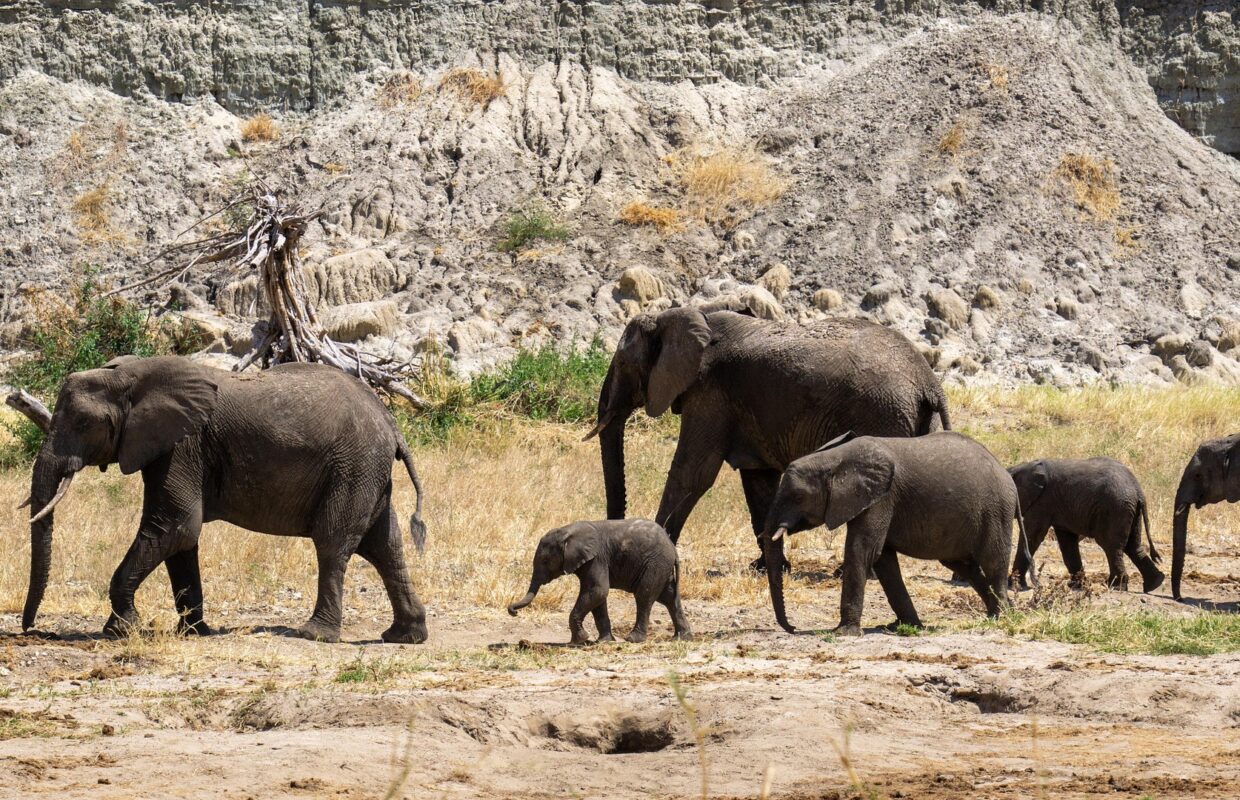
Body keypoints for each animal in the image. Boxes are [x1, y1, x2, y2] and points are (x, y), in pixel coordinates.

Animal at [21, 356, 428, 644]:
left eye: (81, 424)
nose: (31, 631)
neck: (132, 373)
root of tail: (391, 423)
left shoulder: (183, 446)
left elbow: (176, 525)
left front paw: (122, 630)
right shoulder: (170, 447)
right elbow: (180, 540)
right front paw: (194, 633)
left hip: (353, 467)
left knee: (333, 542)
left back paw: (314, 634)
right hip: (367, 472)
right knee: (384, 545)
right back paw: (405, 636)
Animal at [507, 519, 691, 644]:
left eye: (545, 561)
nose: (513, 612)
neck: (567, 531)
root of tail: (672, 546)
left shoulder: (596, 558)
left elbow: (598, 590)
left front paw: (580, 640)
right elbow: (597, 597)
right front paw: (603, 641)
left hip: (655, 563)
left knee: (644, 596)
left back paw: (633, 639)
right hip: (662, 566)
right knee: (668, 598)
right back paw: (682, 638)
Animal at [589, 307, 950, 572]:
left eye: (623, 362)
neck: (679, 315)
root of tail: (929, 382)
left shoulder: (710, 393)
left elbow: (693, 472)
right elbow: (758, 481)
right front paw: (765, 568)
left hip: (883, 415)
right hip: (916, 420)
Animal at [761, 432, 1029, 635]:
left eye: (797, 497)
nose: (793, 628)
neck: (835, 459)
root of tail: (1008, 477)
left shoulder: (881, 498)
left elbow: (862, 551)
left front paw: (844, 633)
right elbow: (883, 559)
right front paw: (903, 626)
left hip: (995, 511)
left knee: (992, 562)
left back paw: (999, 617)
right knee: (965, 566)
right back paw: (1001, 613)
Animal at [1008, 457, 1162, 592]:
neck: (1023, 466)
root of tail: (1138, 491)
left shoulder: (1042, 502)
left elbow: (1032, 536)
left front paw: (1013, 585)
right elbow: (1067, 542)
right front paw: (1077, 585)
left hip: (1115, 509)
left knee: (1112, 547)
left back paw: (1115, 586)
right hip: (1131, 512)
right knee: (1133, 546)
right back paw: (1154, 584)